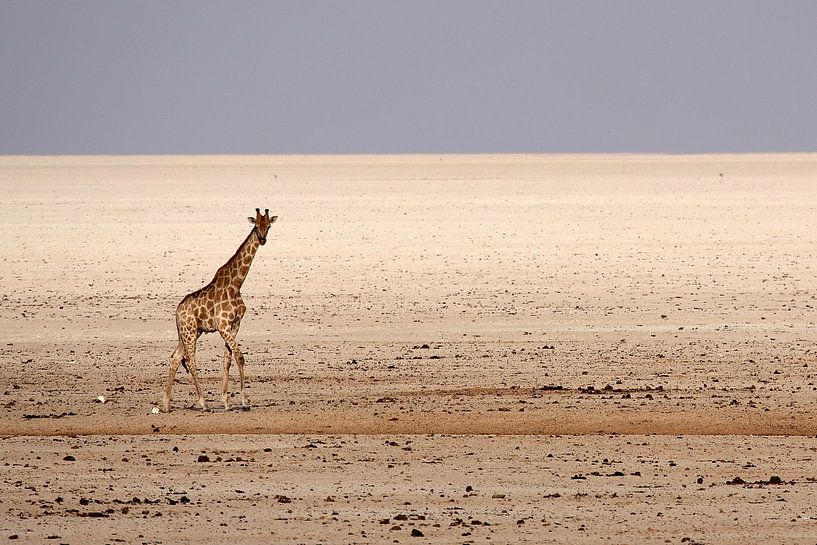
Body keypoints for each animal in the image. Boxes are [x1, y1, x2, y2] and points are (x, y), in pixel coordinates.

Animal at [161, 208, 277, 413]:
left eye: (269, 226)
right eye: (256, 226)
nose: (263, 239)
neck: (236, 284)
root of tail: (177, 312)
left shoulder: (234, 325)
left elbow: (227, 359)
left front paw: (225, 401)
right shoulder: (223, 325)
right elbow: (239, 356)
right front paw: (244, 401)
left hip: (190, 332)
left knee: (175, 358)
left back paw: (166, 404)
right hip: (189, 332)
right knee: (190, 360)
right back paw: (203, 403)